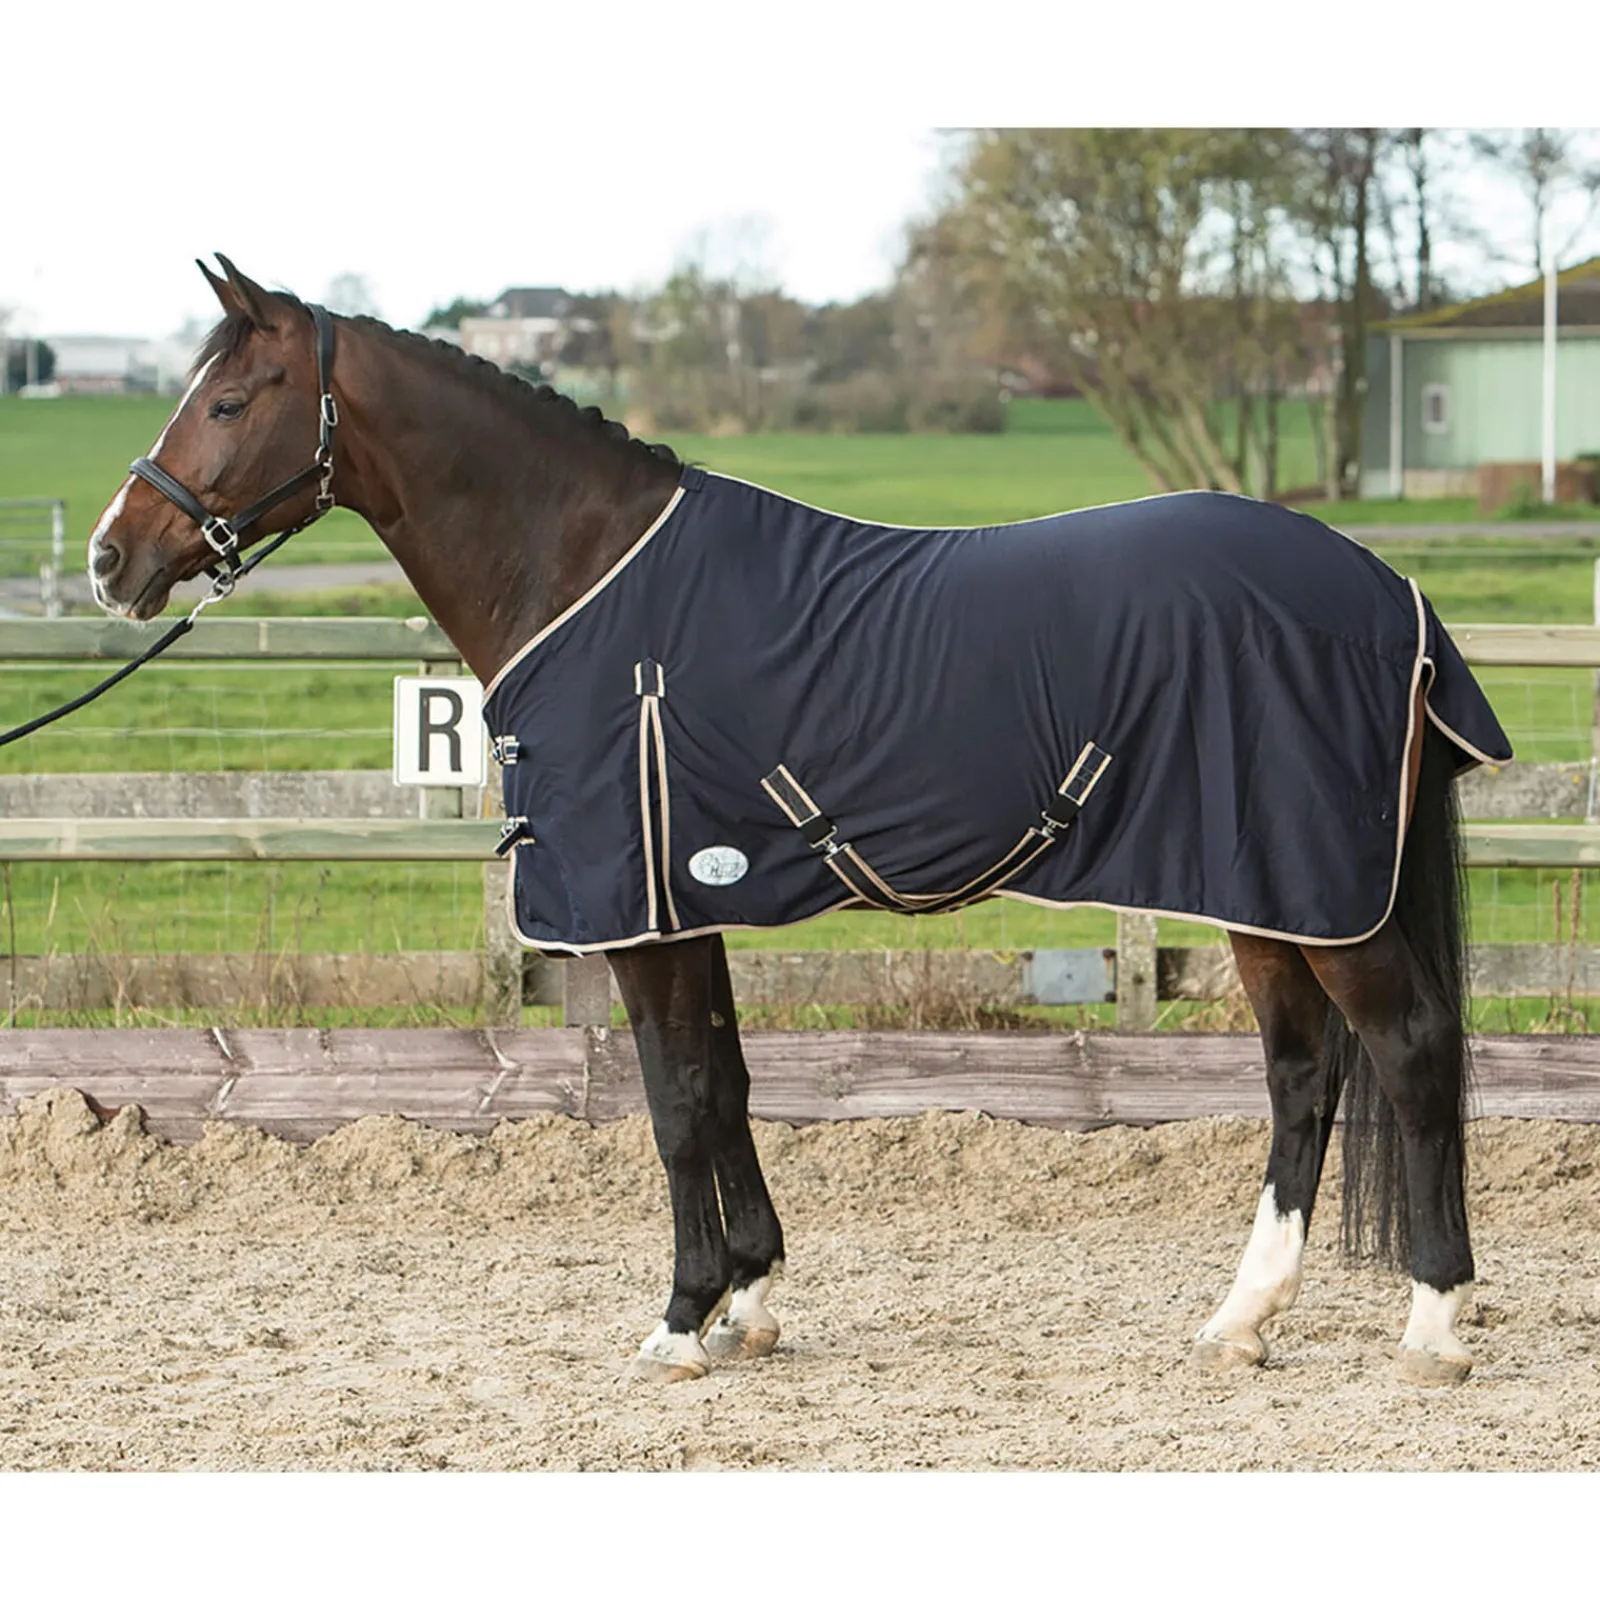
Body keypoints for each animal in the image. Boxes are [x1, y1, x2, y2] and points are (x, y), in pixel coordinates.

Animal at [87, 257, 1512, 1388]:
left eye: (226, 400)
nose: (112, 558)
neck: (587, 577)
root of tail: (1388, 590)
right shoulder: (689, 900)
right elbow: (722, 1085)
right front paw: (751, 1297)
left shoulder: (639, 914)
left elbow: (671, 1102)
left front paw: (678, 1320)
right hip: (1263, 887)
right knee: (1303, 1075)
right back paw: (1241, 1319)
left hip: (1319, 894)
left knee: (1410, 1048)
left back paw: (1434, 1326)